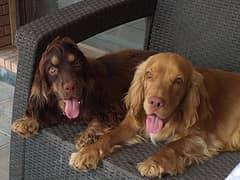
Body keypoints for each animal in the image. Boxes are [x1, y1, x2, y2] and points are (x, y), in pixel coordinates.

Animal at [10, 36, 156, 149]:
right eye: (52, 70)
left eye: (76, 64)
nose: (70, 87)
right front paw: (27, 122)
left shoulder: (114, 107)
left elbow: (100, 120)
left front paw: (87, 136)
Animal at [69, 52, 240, 179]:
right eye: (149, 75)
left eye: (178, 81)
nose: (155, 102)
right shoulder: (131, 125)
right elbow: (108, 136)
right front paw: (87, 153)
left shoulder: (201, 138)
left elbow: (172, 145)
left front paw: (153, 163)